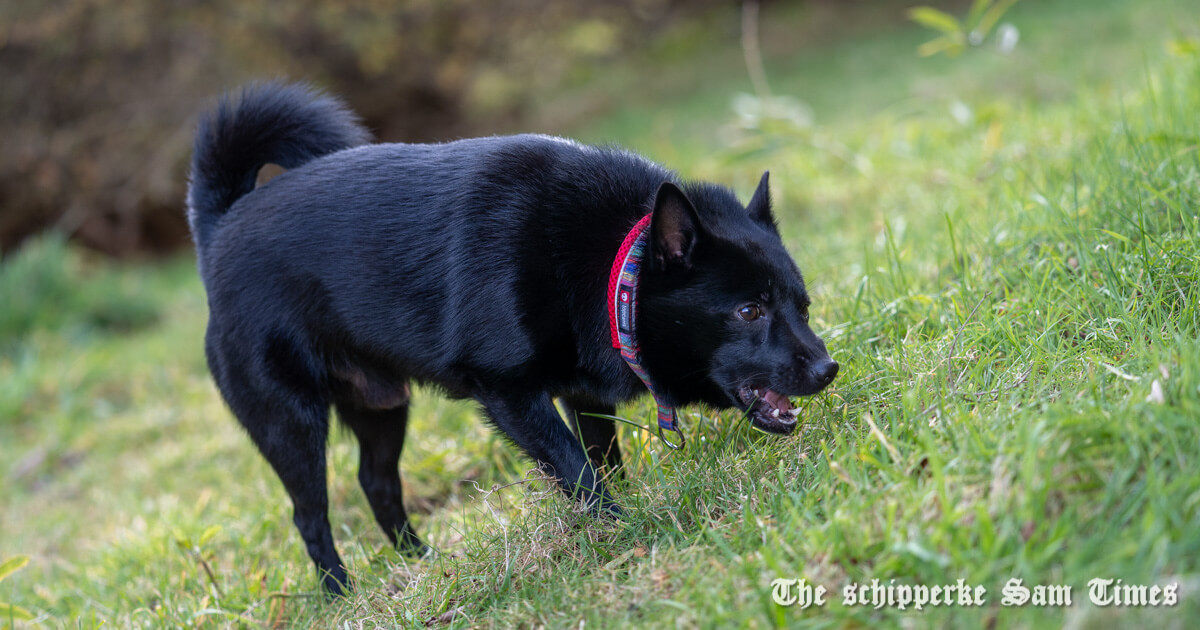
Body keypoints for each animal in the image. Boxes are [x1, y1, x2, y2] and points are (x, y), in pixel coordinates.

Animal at [187, 81, 840, 592]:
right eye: (749, 310)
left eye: (803, 306)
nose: (828, 370)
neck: (613, 269)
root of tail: (220, 230)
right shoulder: (509, 394)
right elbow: (576, 470)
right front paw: (621, 531)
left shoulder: (584, 396)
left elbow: (603, 462)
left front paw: (622, 517)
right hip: (290, 422)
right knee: (310, 515)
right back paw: (341, 594)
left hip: (382, 408)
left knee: (377, 484)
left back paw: (423, 565)